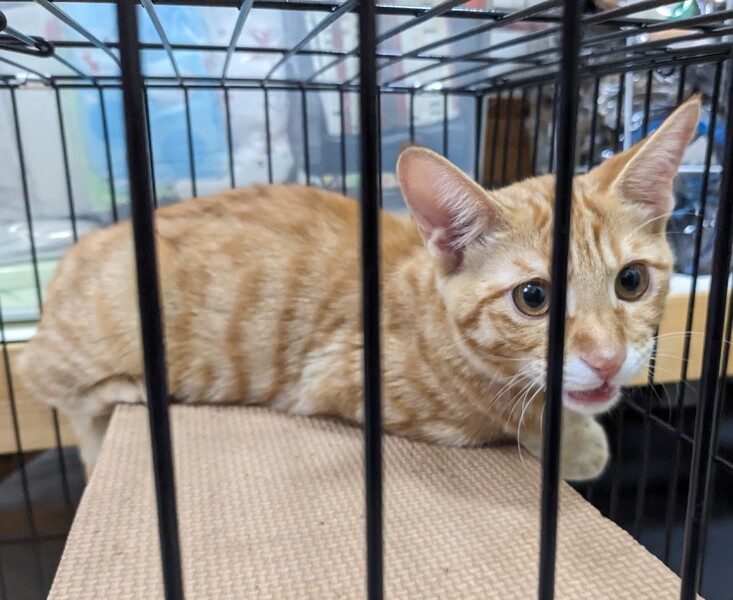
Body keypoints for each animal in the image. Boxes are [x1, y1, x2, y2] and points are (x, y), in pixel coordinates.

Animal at [16, 96, 700, 482]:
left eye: (632, 281)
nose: (607, 359)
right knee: (47, 383)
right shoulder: (353, 383)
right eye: (534, 298)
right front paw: (571, 440)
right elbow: (514, 417)